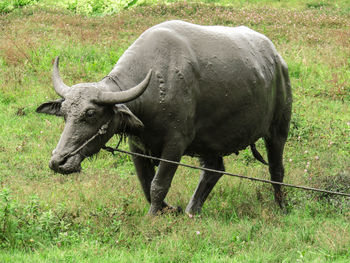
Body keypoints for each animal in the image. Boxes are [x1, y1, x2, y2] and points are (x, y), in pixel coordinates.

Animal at [36, 21, 292, 217]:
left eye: (91, 114)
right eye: (65, 112)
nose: (58, 162)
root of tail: (276, 59)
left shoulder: (175, 145)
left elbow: (159, 184)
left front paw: (153, 215)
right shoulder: (137, 145)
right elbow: (145, 182)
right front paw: (169, 209)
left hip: (278, 129)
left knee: (276, 170)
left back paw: (281, 207)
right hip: (210, 140)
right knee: (213, 170)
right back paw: (191, 211)